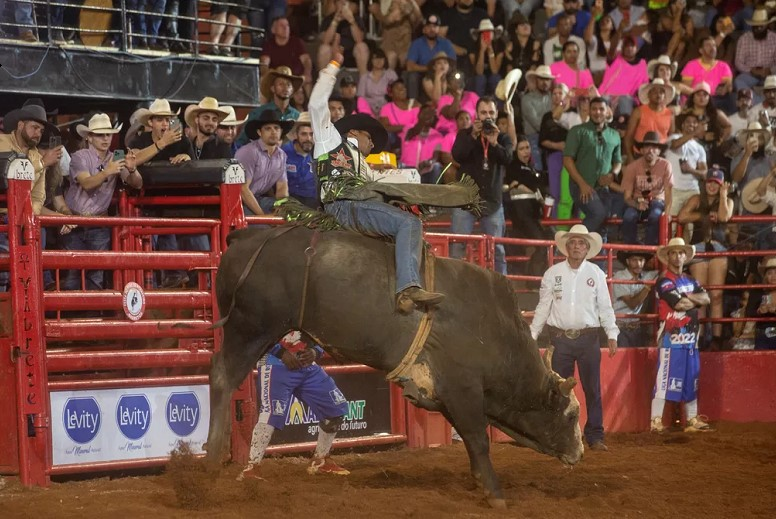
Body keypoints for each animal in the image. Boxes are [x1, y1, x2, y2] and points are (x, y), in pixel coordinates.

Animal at [206, 224, 584, 508]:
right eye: (570, 415)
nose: (579, 452)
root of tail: (246, 237)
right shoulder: (462, 388)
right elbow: (478, 439)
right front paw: (495, 493)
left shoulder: (443, 395)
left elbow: (468, 439)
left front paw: (480, 482)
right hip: (250, 326)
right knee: (222, 377)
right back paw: (210, 459)